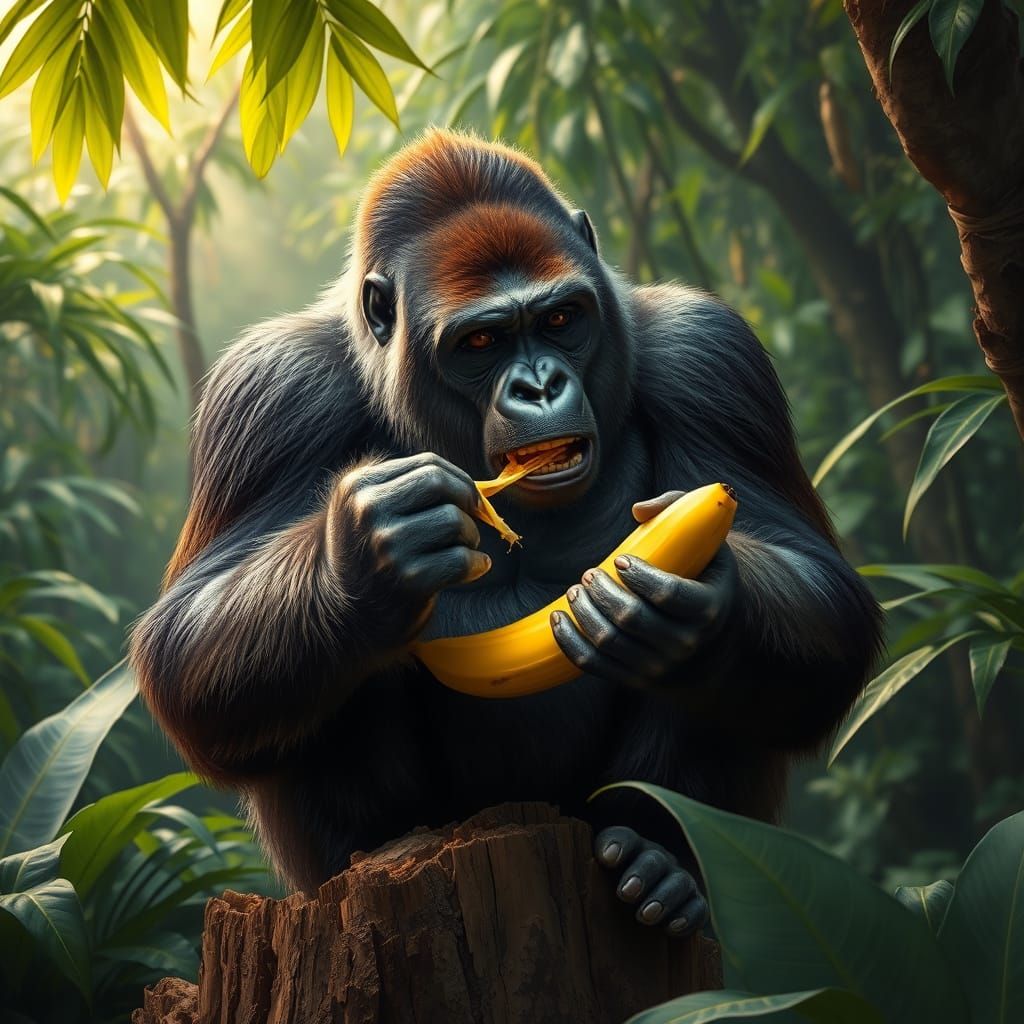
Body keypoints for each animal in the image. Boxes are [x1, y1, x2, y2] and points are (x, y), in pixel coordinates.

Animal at [130, 129, 882, 938]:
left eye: (560, 320)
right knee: (329, 664)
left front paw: (696, 612)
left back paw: (660, 865)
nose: (540, 387)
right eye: (481, 341)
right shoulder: (270, 391)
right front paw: (361, 565)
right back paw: (381, 844)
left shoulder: (711, 354)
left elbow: (823, 593)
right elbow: (187, 643)